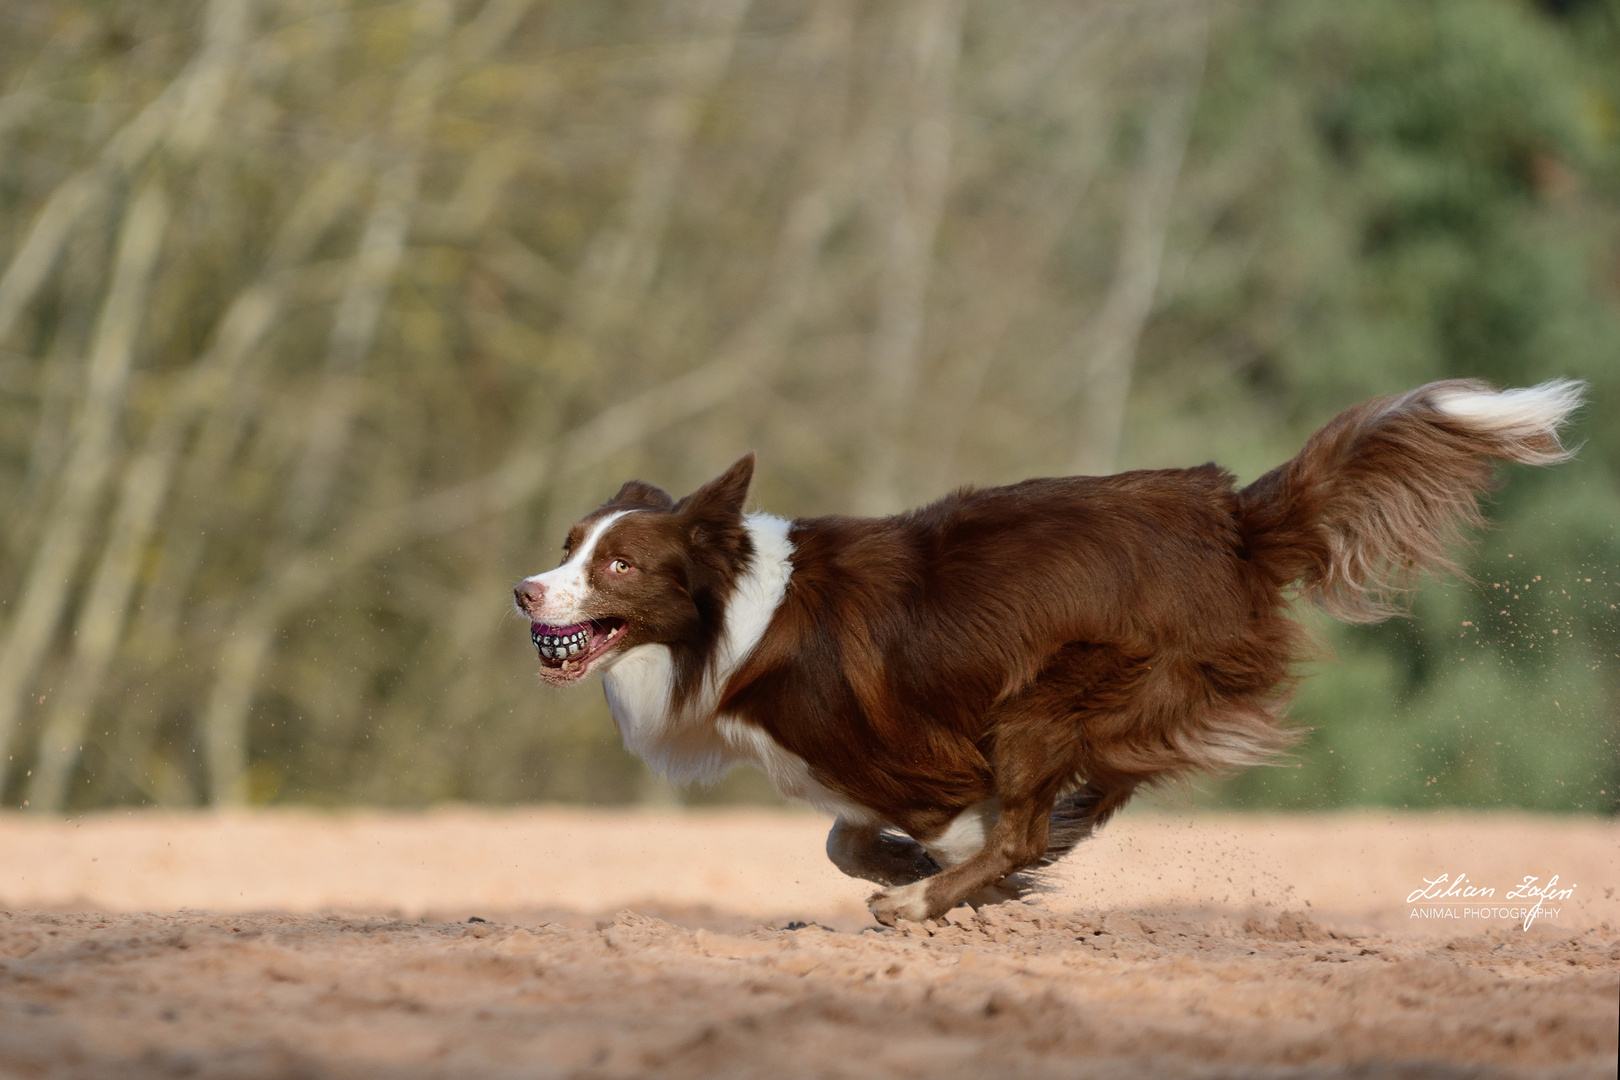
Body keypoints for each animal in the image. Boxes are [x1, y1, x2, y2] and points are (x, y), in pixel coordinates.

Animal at [515, 378, 1581, 919]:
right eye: (568, 545)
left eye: (617, 565)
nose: (523, 593)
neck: (734, 617)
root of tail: (1232, 517)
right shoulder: (878, 771)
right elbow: (844, 840)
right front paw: (914, 872)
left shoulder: (922, 758)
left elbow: (945, 834)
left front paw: (941, 889)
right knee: (1095, 792)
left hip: (1049, 694)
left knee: (1036, 811)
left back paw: (942, 894)